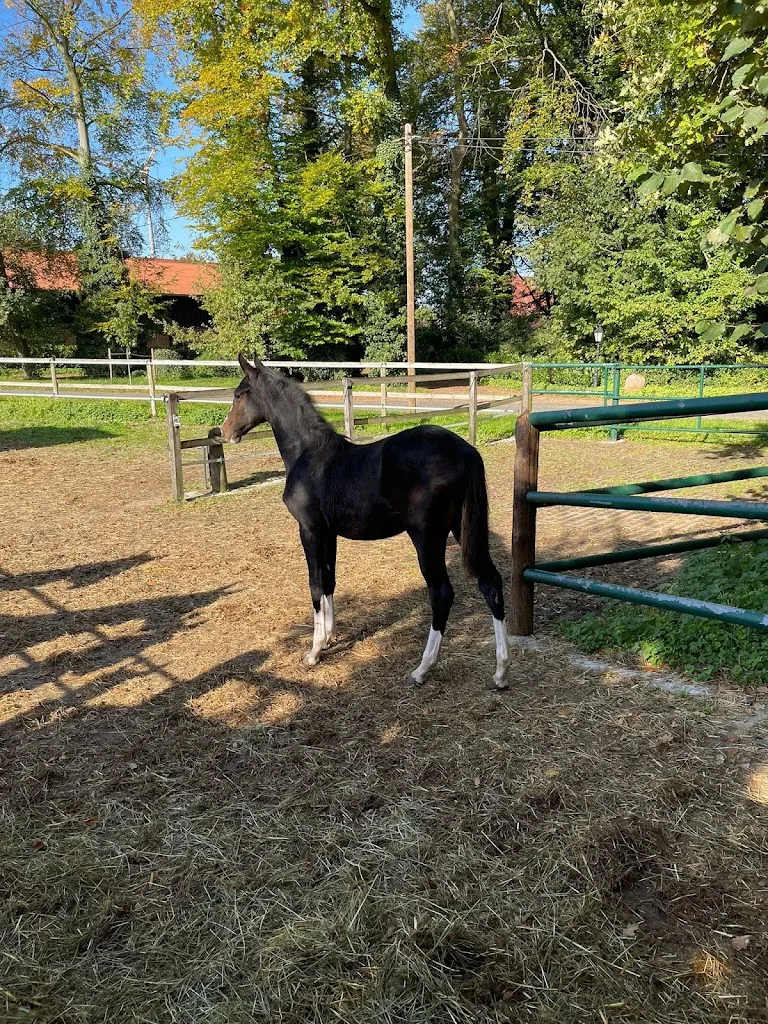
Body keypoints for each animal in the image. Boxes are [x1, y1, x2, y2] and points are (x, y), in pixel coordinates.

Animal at [220, 354, 511, 689]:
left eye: (238, 395)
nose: (224, 431)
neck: (308, 454)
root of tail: (467, 451)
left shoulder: (310, 530)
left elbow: (315, 585)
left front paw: (314, 651)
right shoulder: (329, 533)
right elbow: (329, 581)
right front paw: (329, 638)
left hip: (427, 536)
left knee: (442, 593)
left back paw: (422, 669)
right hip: (461, 529)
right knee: (490, 582)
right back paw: (501, 671)